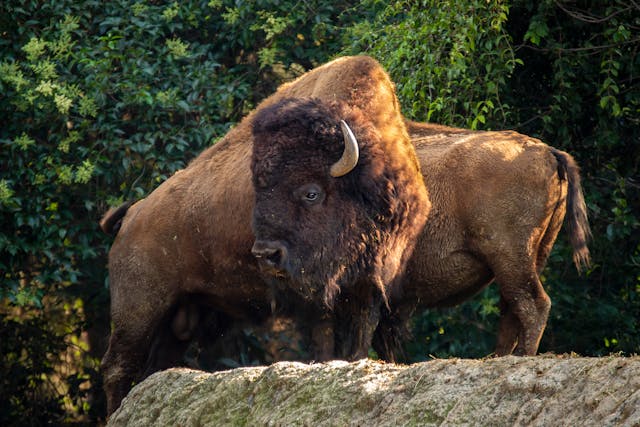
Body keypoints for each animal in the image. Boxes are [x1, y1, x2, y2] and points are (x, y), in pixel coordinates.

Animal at [99, 55, 428, 416]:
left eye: (311, 193)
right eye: (258, 190)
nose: (266, 255)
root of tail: (132, 214)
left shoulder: (367, 287)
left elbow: (357, 344)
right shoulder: (313, 297)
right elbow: (324, 342)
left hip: (180, 317)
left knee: (153, 366)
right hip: (139, 310)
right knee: (117, 367)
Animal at [369, 120, 591, 360]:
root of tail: (547, 151)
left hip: (510, 258)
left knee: (533, 304)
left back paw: (521, 356)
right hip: (533, 256)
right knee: (513, 310)